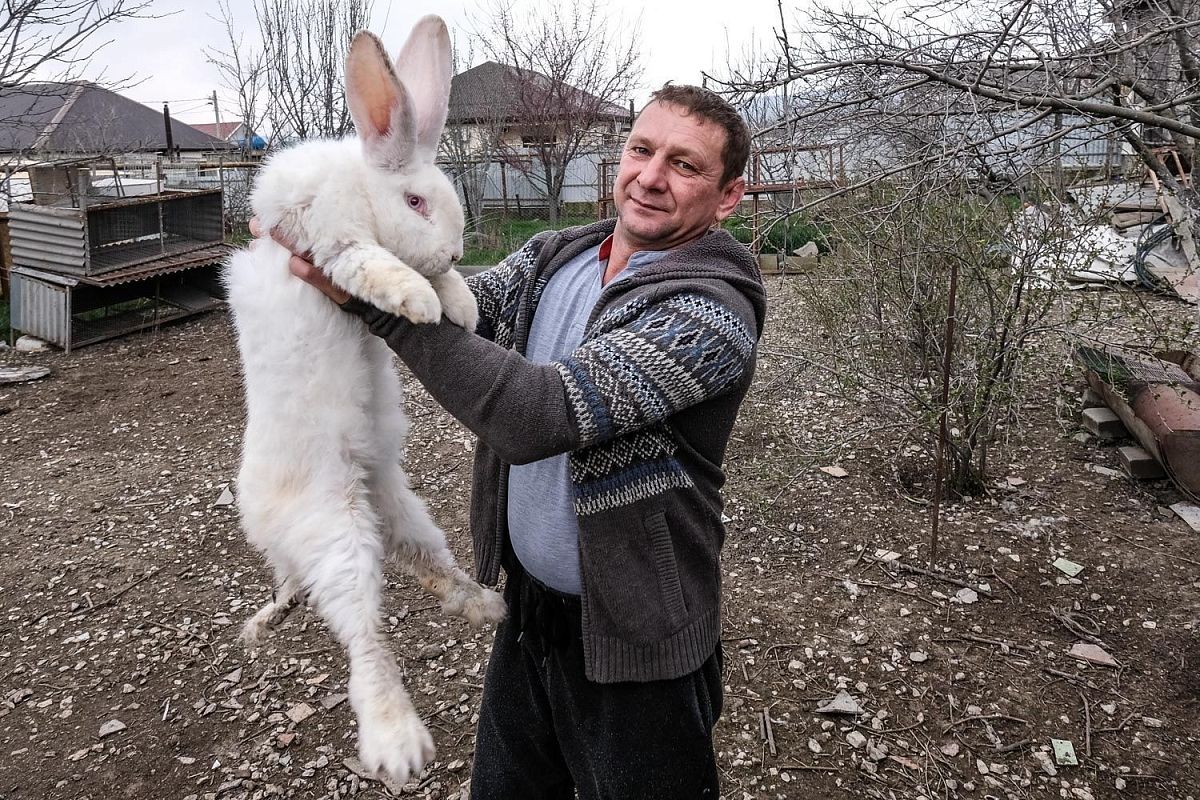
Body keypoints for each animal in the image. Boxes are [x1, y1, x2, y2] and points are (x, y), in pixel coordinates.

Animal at [223, 15, 504, 786]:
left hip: (403, 512)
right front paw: (418, 297)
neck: (360, 182)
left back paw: (485, 605)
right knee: (363, 637)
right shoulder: (325, 239)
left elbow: (437, 287)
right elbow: (368, 264)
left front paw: (459, 303)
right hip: (336, 529)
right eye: (415, 203)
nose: (454, 252)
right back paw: (397, 742)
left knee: (422, 566)